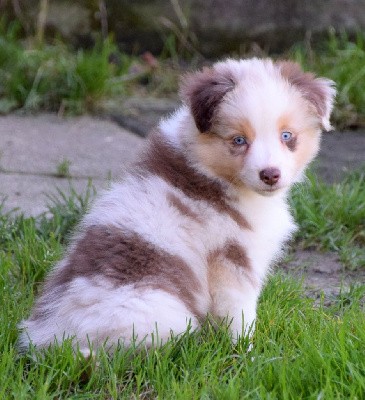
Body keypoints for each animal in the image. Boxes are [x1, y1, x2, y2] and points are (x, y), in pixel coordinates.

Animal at [18, 58, 334, 354]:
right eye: (239, 140)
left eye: (287, 136)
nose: (270, 175)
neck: (212, 170)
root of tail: (50, 337)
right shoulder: (232, 259)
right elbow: (240, 314)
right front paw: (246, 352)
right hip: (158, 312)